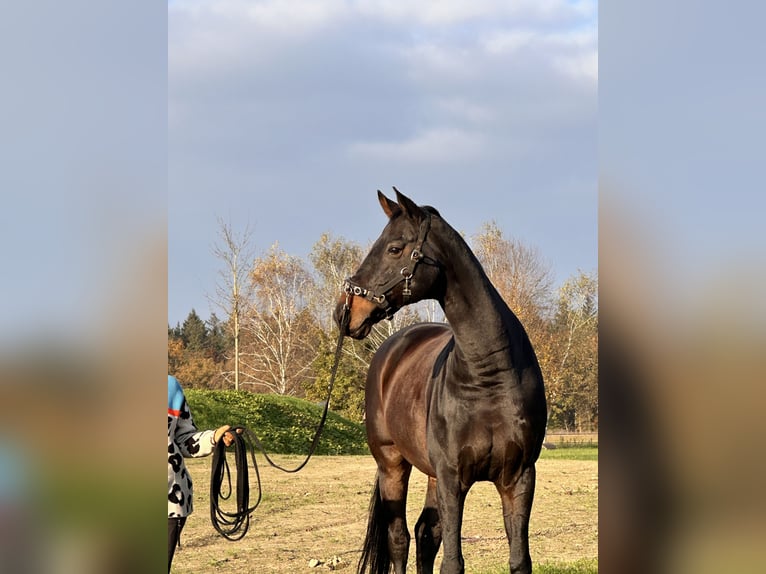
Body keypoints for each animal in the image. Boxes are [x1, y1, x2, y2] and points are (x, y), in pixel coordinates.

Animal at [334, 191, 544, 572]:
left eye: (394, 248)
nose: (343, 311)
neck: (487, 375)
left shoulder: (519, 477)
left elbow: (519, 559)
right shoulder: (451, 477)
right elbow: (452, 562)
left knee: (424, 534)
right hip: (391, 464)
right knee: (399, 539)